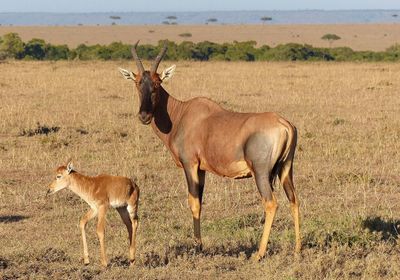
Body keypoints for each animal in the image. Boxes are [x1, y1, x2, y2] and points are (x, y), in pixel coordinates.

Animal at [119, 42, 300, 260]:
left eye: (157, 83)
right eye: (138, 83)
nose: (144, 116)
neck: (182, 114)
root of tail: (285, 124)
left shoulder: (190, 165)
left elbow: (193, 202)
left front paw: (198, 247)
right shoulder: (202, 169)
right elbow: (200, 202)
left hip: (261, 173)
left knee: (271, 203)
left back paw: (259, 253)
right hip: (286, 170)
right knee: (294, 200)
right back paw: (297, 249)